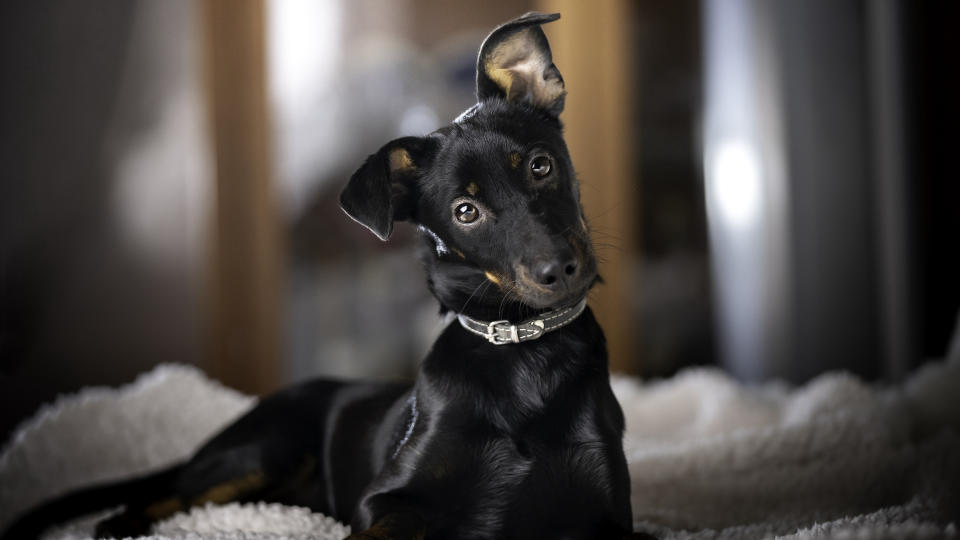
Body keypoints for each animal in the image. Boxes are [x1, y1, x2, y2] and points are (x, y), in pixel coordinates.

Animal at [3, 12, 652, 540]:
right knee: (169, 494)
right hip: (263, 449)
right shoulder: (386, 499)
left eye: (541, 166)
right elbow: (384, 529)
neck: (522, 352)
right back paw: (121, 524)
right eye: (466, 211)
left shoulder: (603, 515)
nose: (559, 269)